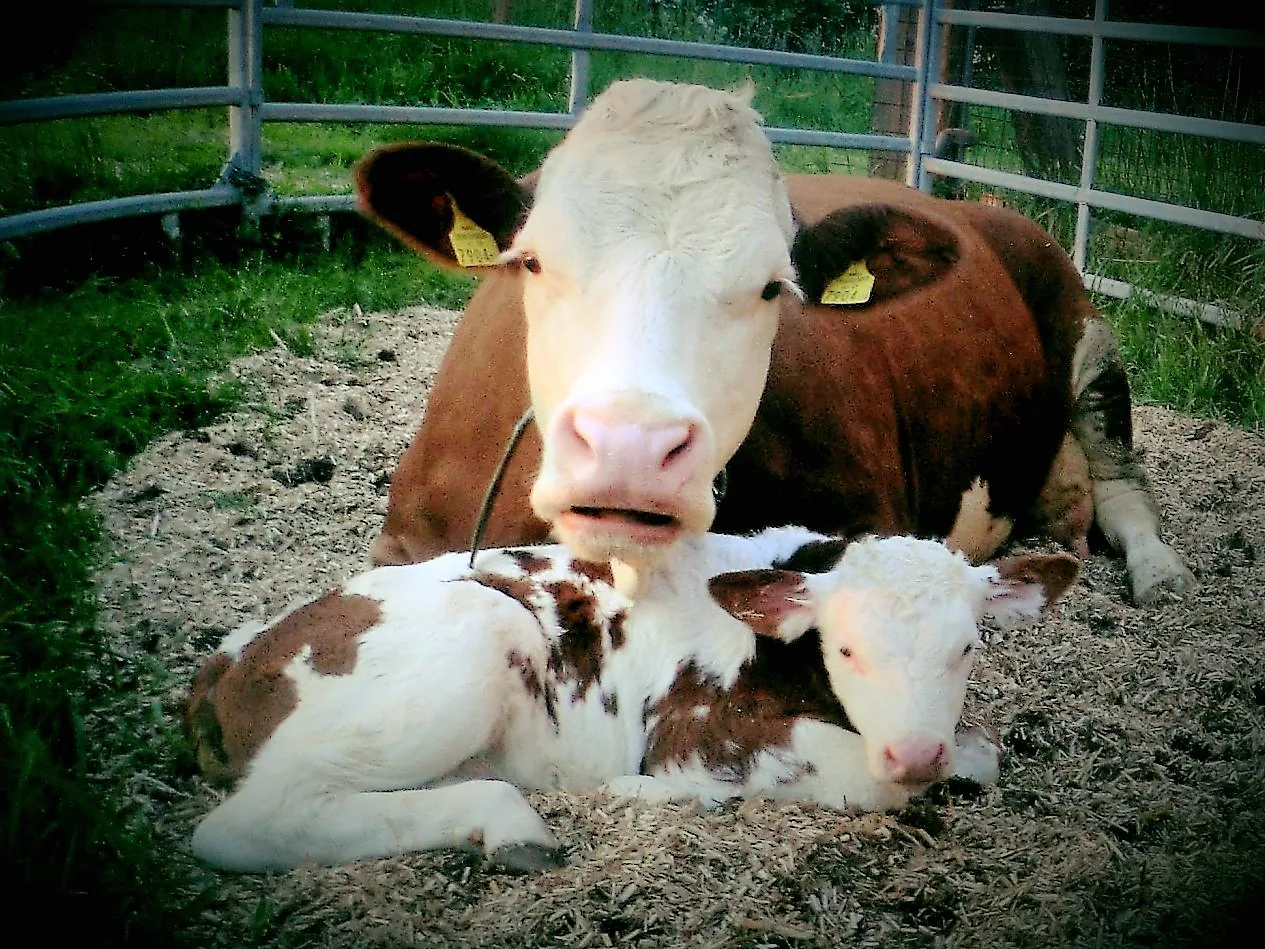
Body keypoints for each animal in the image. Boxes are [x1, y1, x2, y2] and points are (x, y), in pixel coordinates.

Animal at [186, 527, 1078, 872]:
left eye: (966, 646)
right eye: (848, 647)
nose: (915, 749)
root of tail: (232, 661)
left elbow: (985, 753)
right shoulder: (693, 726)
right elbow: (865, 778)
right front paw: (647, 789)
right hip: (472, 635)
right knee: (251, 821)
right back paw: (517, 823)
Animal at [355, 78, 1192, 605]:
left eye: (771, 287)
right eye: (531, 260)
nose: (630, 449)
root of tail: (985, 206)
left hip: (1088, 334)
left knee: (1123, 484)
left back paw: (1161, 572)